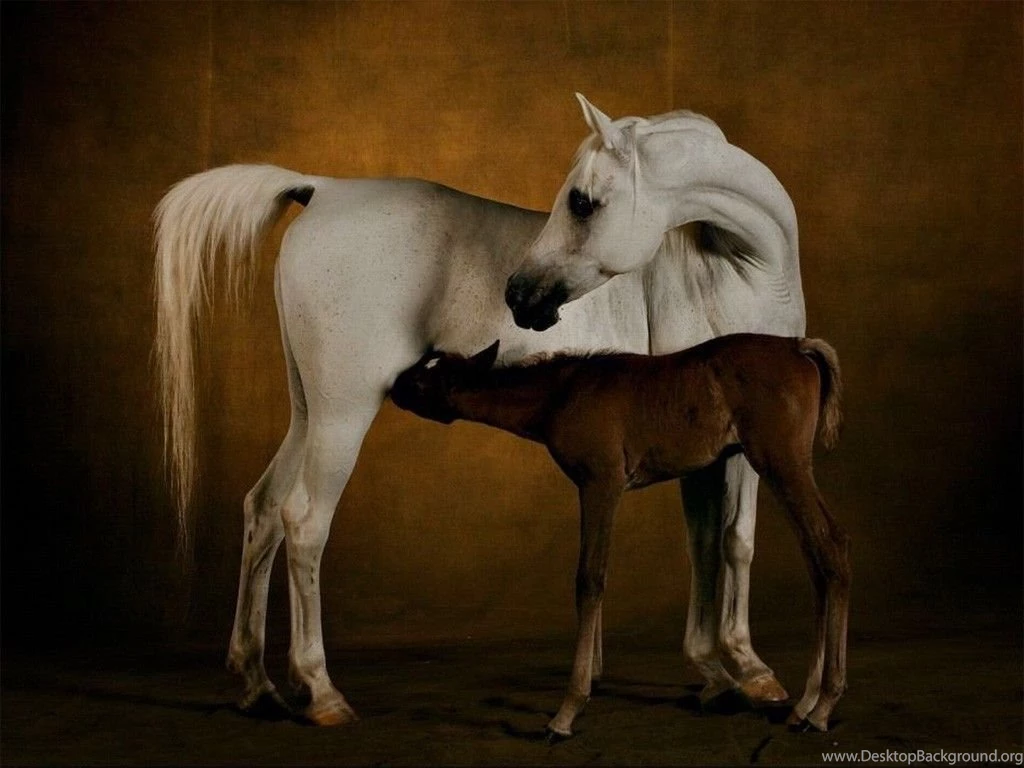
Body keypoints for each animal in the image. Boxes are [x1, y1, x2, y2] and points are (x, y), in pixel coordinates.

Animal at [153, 94, 805, 726]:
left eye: (581, 202)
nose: (517, 294)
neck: (739, 271)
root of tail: (323, 189)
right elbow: (723, 541)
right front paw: (740, 668)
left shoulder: (722, 445)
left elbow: (720, 541)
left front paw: (725, 670)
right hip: (342, 416)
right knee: (305, 523)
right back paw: (320, 691)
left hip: (307, 414)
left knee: (263, 509)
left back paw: (255, 683)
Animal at [390, 335, 848, 736]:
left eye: (424, 379)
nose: (394, 386)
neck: (561, 393)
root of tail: (798, 346)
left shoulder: (601, 483)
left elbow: (590, 578)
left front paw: (568, 708)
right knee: (818, 555)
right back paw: (805, 703)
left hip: (781, 461)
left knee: (830, 544)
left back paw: (823, 705)